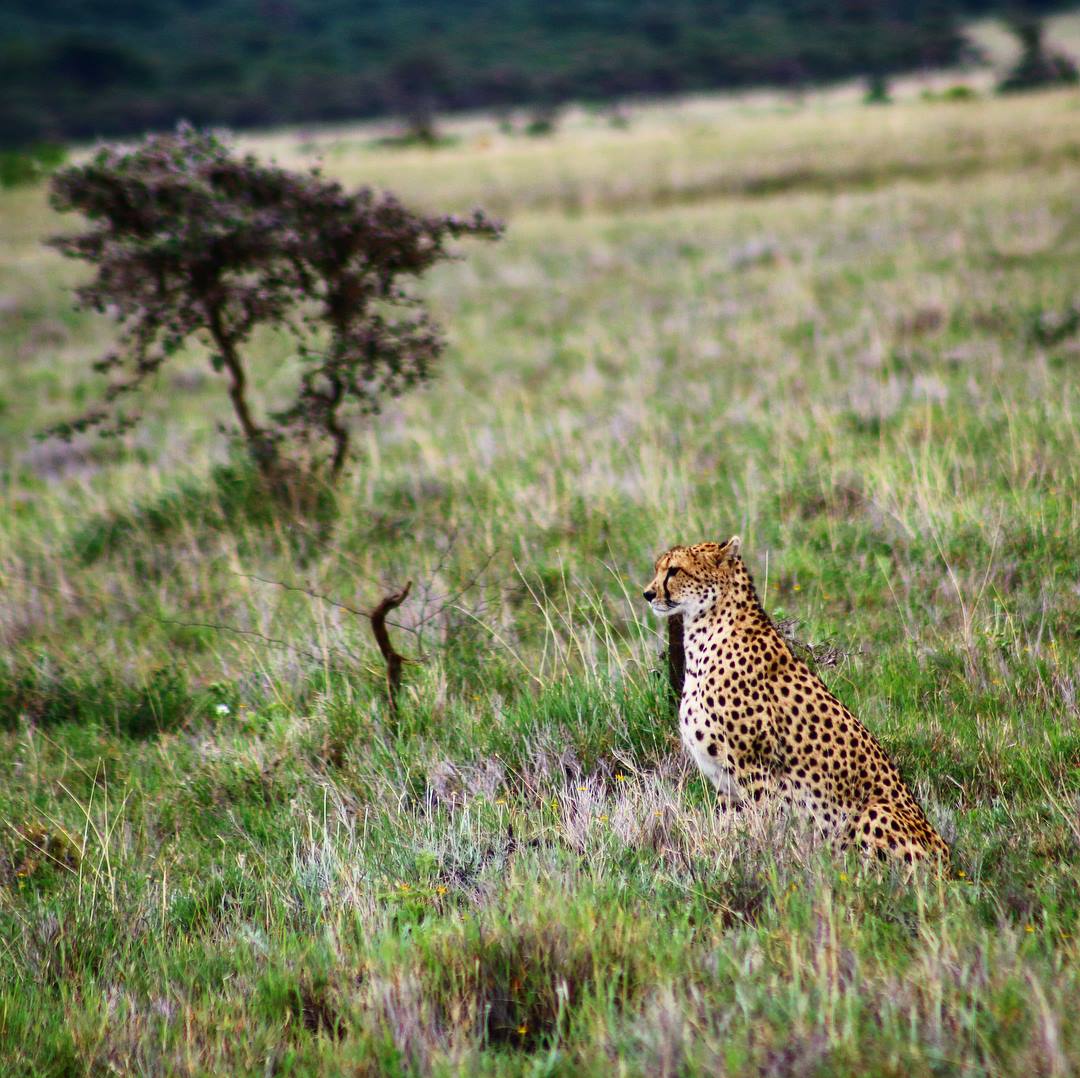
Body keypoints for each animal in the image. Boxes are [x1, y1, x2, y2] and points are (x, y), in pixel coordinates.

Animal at [643, 537, 950, 869]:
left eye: (674, 570)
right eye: (658, 568)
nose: (648, 594)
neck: (707, 630)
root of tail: (948, 858)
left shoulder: (756, 769)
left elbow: (761, 825)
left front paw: (762, 858)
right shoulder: (726, 783)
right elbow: (726, 829)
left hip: (874, 812)